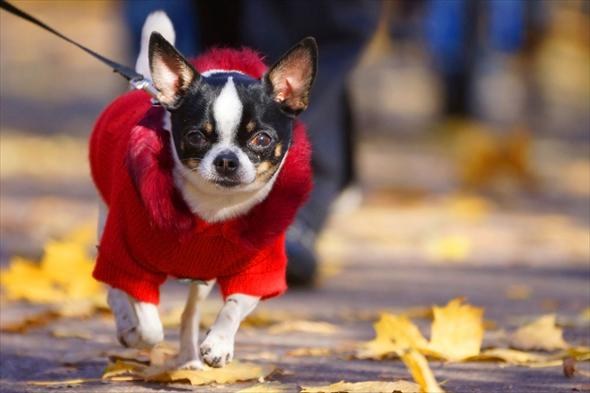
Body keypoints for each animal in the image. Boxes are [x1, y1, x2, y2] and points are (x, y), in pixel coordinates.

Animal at [89, 12, 316, 368]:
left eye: (262, 139)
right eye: (196, 136)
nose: (226, 160)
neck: (215, 206)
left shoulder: (258, 271)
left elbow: (234, 306)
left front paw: (219, 343)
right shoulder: (131, 261)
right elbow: (149, 323)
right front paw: (136, 332)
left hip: (202, 280)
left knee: (189, 315)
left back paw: (189, 360)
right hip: (107, 225)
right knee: (114, 288)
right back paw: (128, 325)